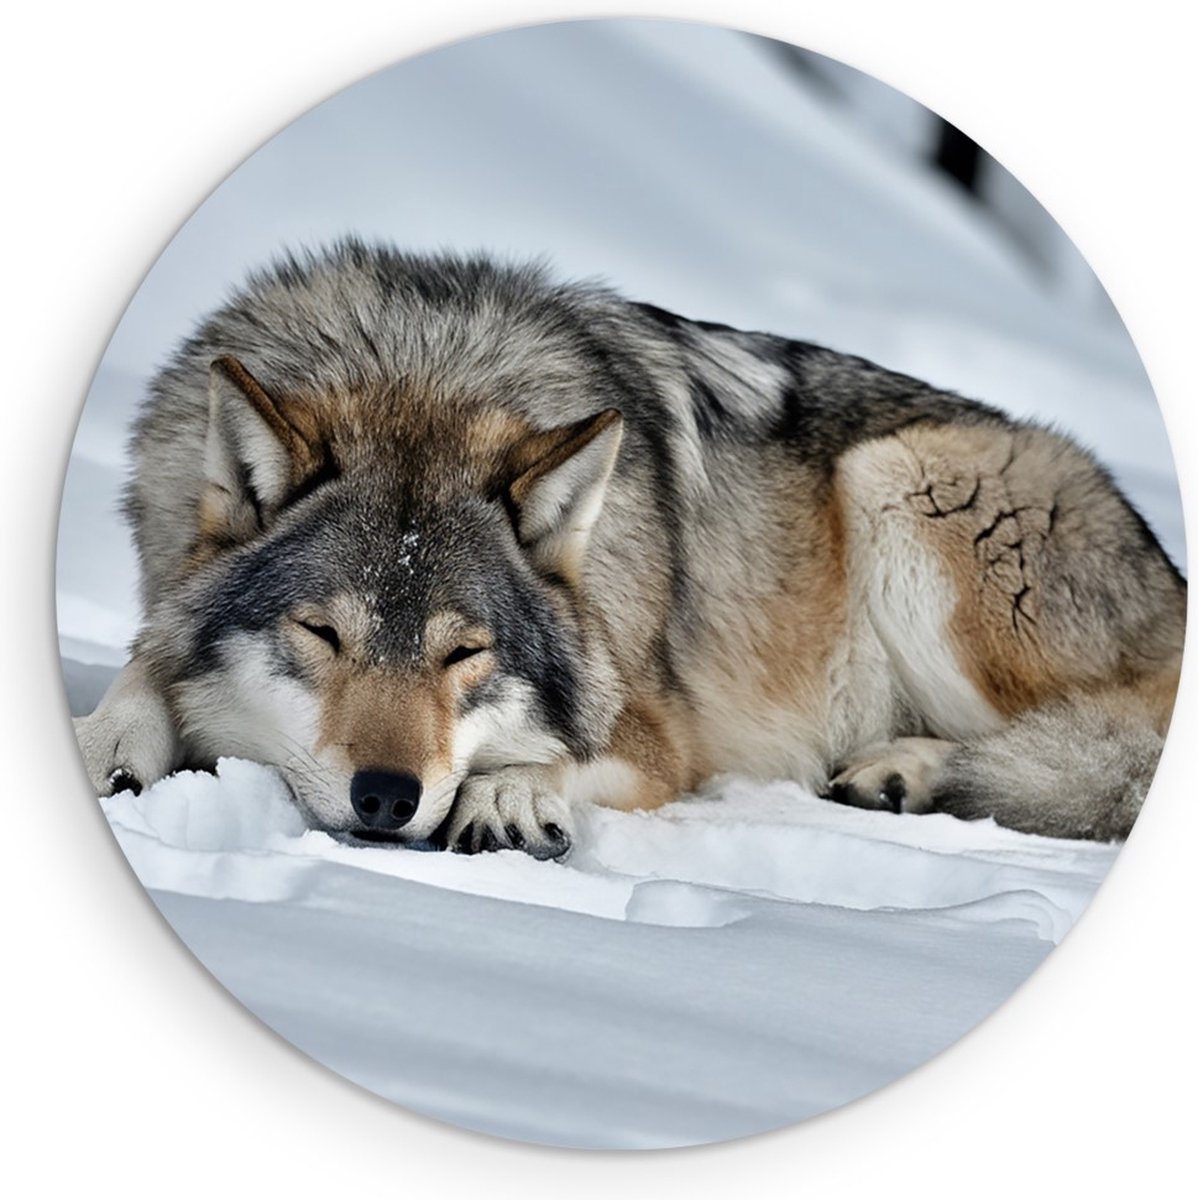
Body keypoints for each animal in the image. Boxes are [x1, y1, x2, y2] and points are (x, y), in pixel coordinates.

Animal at [72, 240, 1185, 858]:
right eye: (321, 635)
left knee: (1106, 746)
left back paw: (906, 773)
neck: (422, 365)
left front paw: (509, 790)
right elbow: (147, 664)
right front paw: (103, 743)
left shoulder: (660, 733)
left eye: (464, 653)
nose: (387, 797)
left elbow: (561, 749)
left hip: (899, 482)